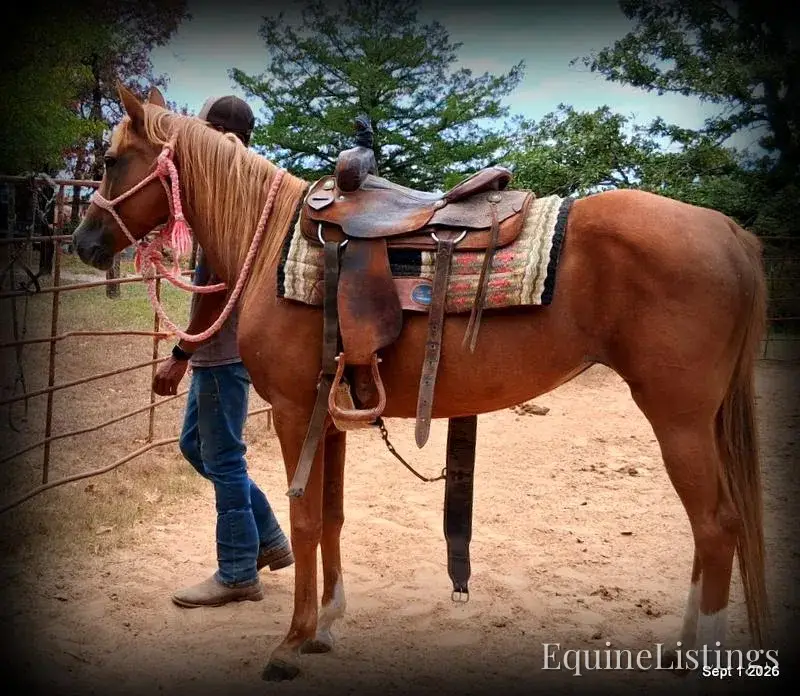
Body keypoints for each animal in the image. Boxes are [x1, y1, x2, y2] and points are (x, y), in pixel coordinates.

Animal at [72, 84, 769, 681]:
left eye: (109, 160)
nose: (81, 240)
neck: (268, 246)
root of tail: (728, 231)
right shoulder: (331, 415)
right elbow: (332, 517)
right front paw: (327, 624)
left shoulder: (296, 412)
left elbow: (304, 521)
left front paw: (292, 642)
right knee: (713, 529)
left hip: (678, 418)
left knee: (716, 526)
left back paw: (700, 655)